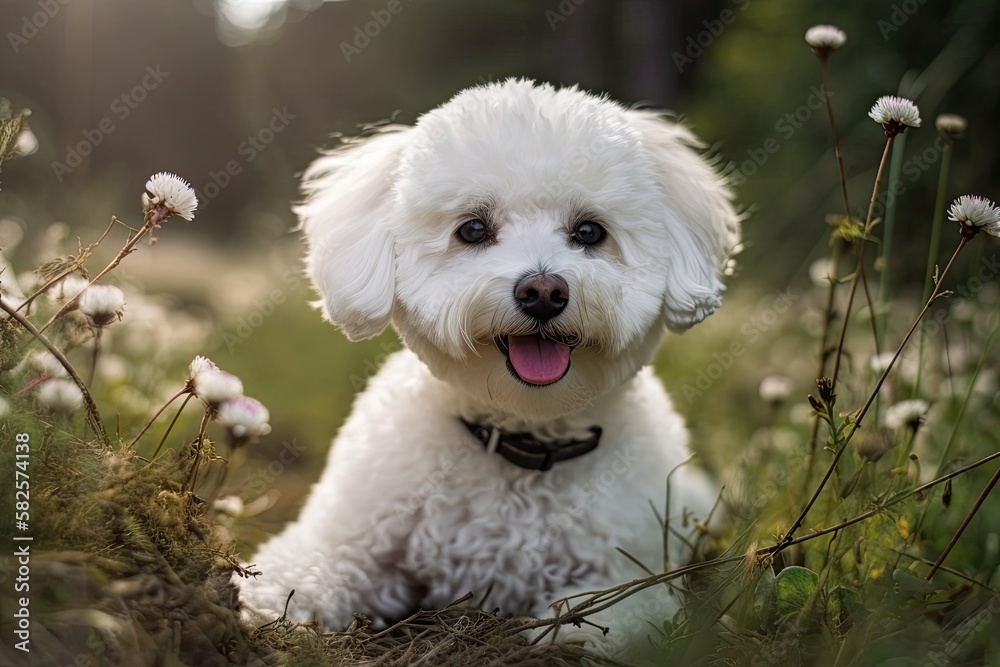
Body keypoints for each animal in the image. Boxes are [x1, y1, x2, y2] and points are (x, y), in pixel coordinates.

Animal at [240, 78, 744, 652]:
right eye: (474, 229)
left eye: (590, 232)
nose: (543, 291)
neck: (520, 440)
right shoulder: (343, 536)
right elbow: (299, 573)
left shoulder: (636, 577)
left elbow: (611, 616)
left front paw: (559, 627)